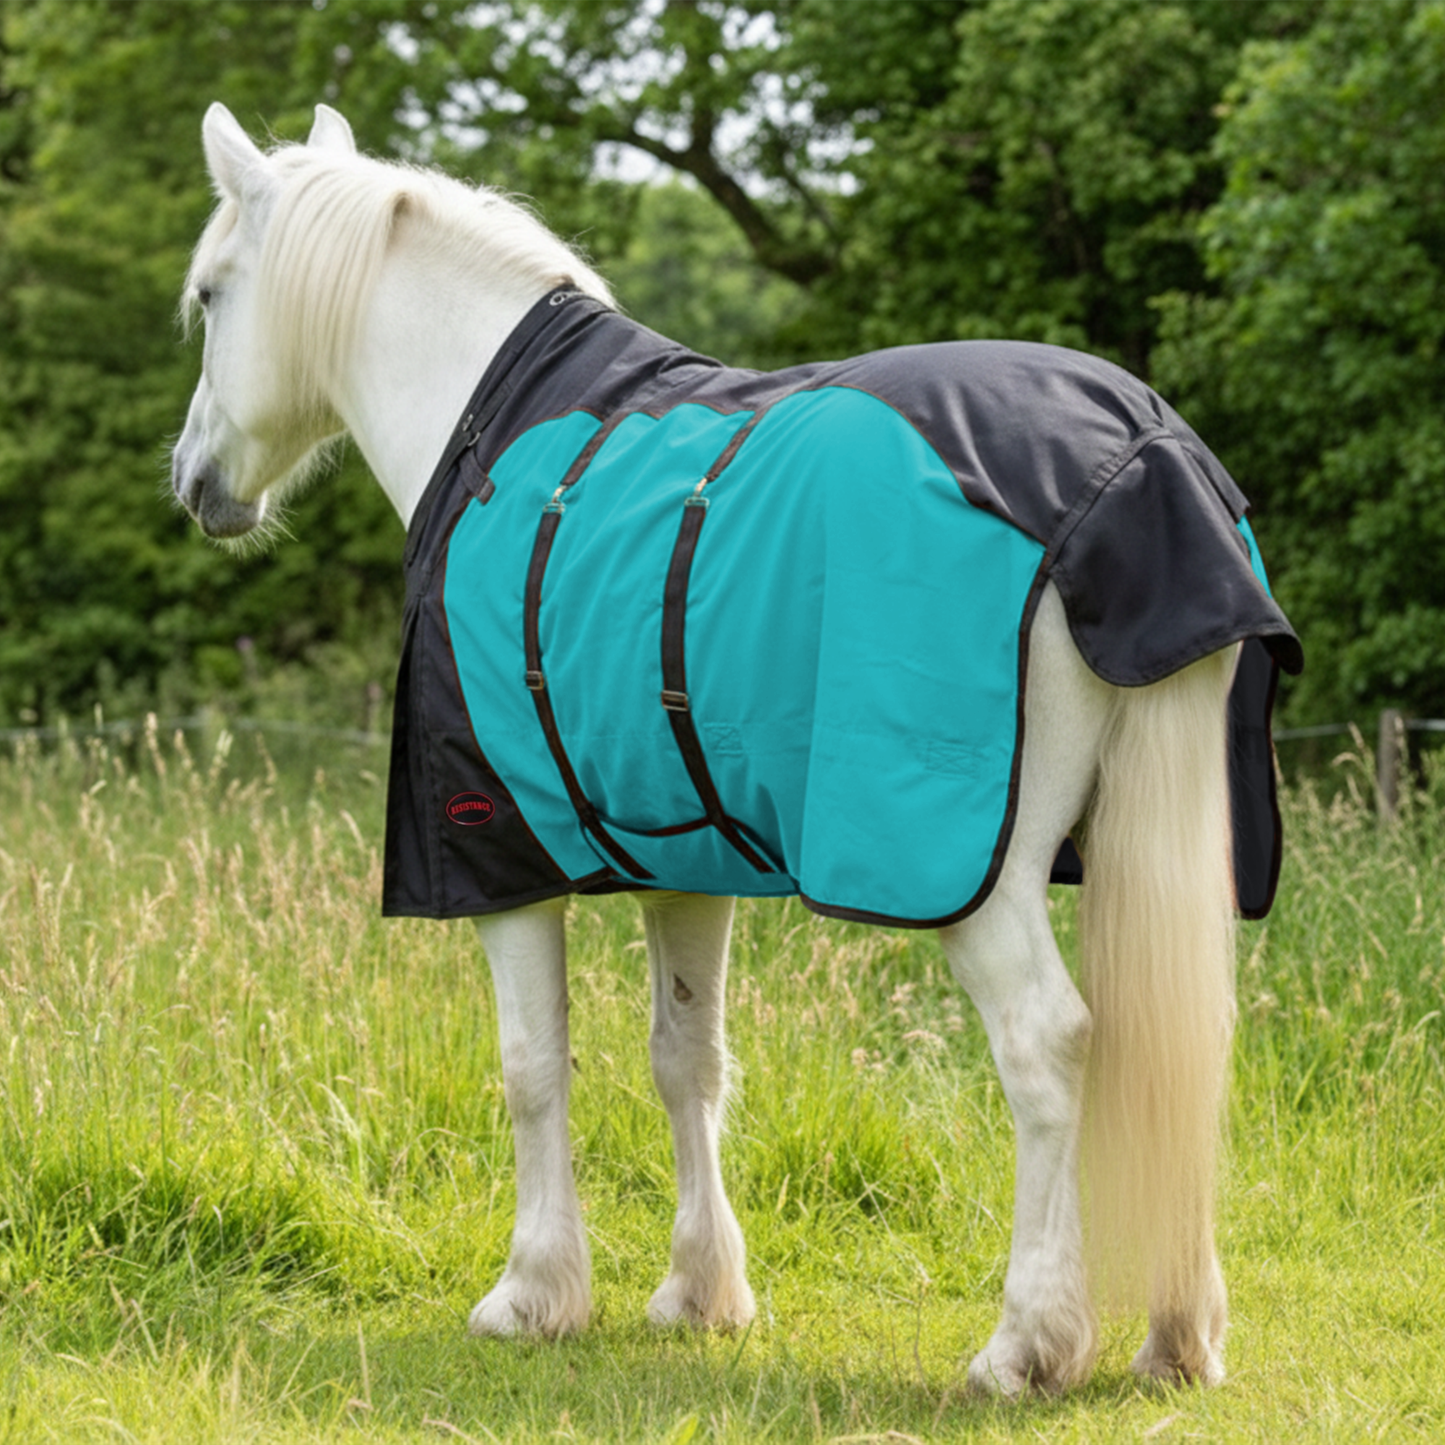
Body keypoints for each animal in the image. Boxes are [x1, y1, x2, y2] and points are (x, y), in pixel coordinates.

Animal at [171, 102, 1301, 1396]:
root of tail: (1138, 452)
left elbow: (530, 1063)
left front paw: (532, 1293)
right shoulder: (682, 855)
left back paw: (1025, 1341)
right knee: (1181, 1045)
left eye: (210, 295)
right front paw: (699, 1291)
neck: (494, 430)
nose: (193, 481)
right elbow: (686, 1057)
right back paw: (1175, 1334)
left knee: (1046, 1046)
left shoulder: (499, 854)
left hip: (974, 875)